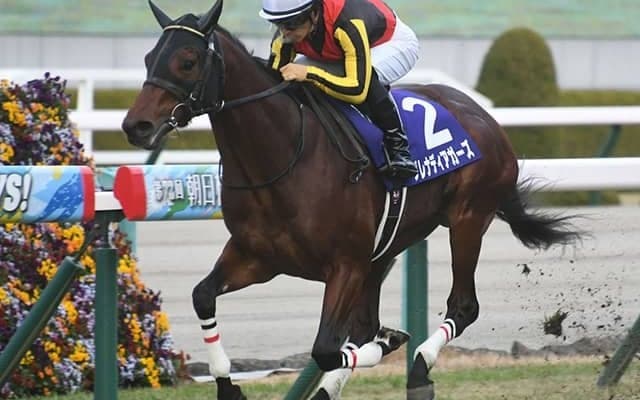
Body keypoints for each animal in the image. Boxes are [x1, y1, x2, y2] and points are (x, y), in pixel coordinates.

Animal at [121, 1, 582, 399]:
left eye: (187, 61)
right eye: (147, 58)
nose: (135, 125)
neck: (285, 156)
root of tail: (487, 119)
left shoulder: (345, 264)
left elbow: (327, 347)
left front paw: (392, 341)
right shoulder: (258, 257)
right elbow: (203, 296)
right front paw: (228, 387)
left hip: (467, 220)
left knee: (463, 306)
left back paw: (418, 366)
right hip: (385, 249)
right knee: (367, 323)